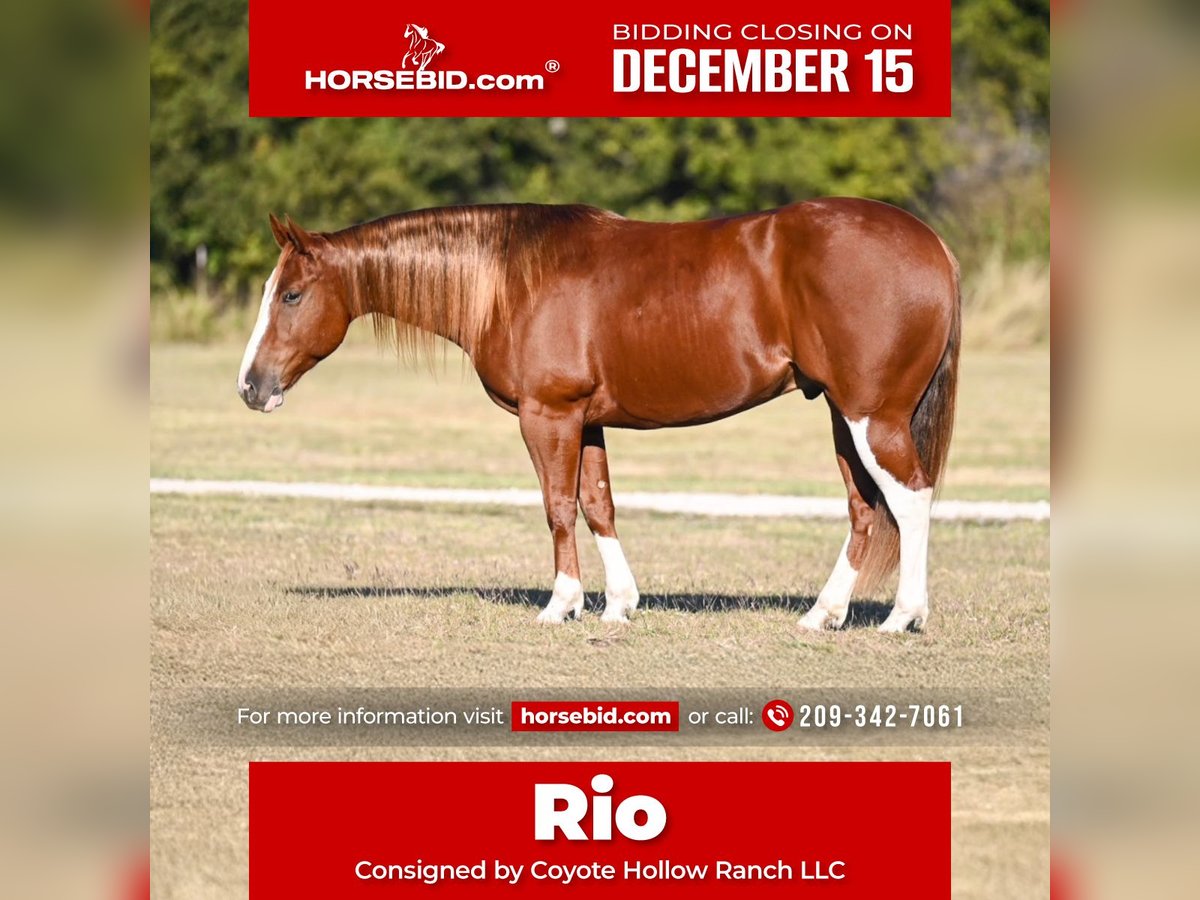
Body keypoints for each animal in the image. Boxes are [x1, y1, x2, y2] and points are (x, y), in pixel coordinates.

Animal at [237, 200, 960, 633]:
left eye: (292, 294)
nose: (250, 387)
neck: (510, 279)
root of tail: (933, 245)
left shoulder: (547, 415)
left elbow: (558, 506)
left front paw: (562, 603)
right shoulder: (586, 420)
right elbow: (598, 504)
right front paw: (619, 604)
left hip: (872, 417)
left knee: (911, 497)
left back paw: (903, 617)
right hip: (843, 416)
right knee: (865, 509)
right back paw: (823, 614)